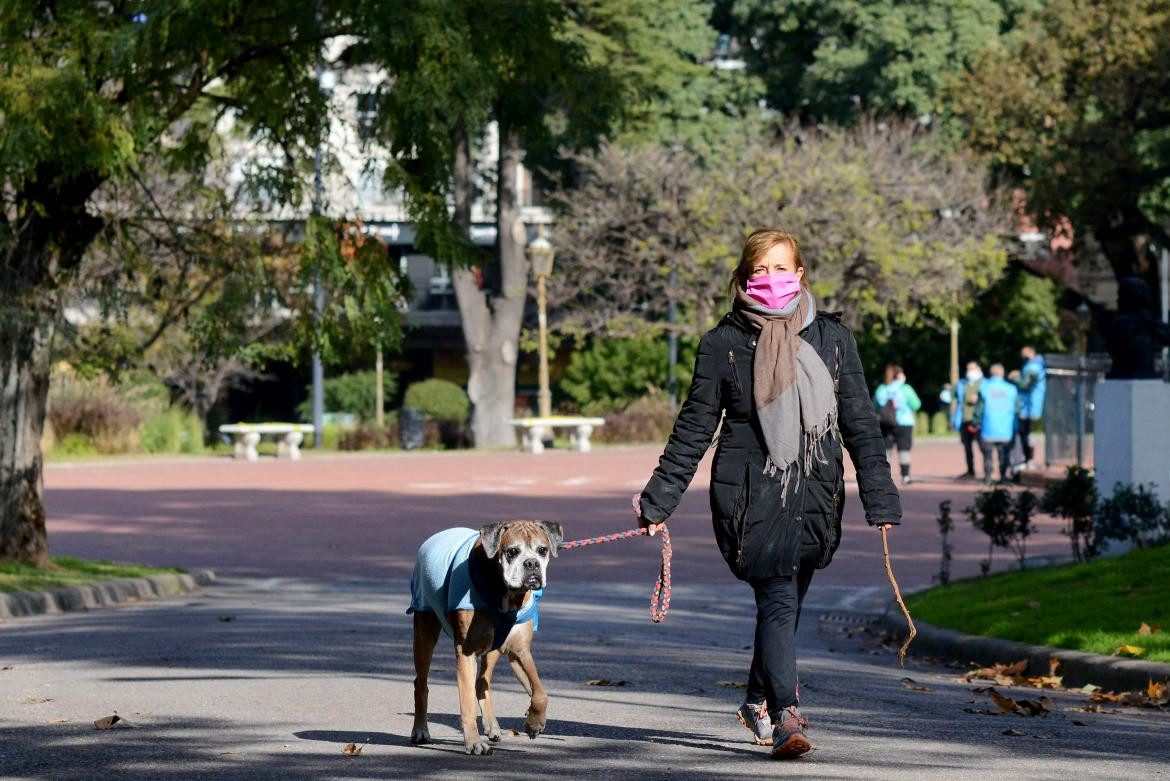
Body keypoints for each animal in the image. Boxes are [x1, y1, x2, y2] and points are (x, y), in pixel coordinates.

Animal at [407, 521, 561, 752]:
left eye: (542, 550)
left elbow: (540, 694)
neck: (507, 596)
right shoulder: (466, 652)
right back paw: (420, 730)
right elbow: (467, 703)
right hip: (424, 635)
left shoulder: (520, 651)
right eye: (512, 552)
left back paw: (492, 726)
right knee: (421, 683)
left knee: (482, 682)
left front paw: (534, 723)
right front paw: (473, 742)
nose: (532, 563)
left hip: (494, 649)